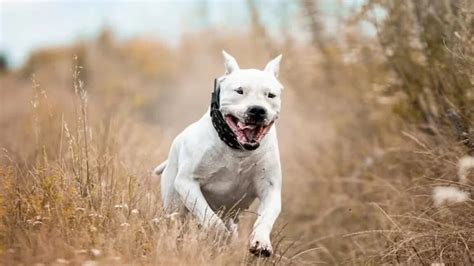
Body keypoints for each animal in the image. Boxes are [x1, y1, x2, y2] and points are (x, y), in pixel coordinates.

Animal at [154, 50, 284, 258]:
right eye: (239, 91)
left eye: (270, 95)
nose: (257, 110)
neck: (237, 149)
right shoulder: (187, 182)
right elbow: (210, 218)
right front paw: (219, 234)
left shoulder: (270, 190)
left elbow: (266, 218)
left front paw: (261, 242)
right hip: (175, 207)